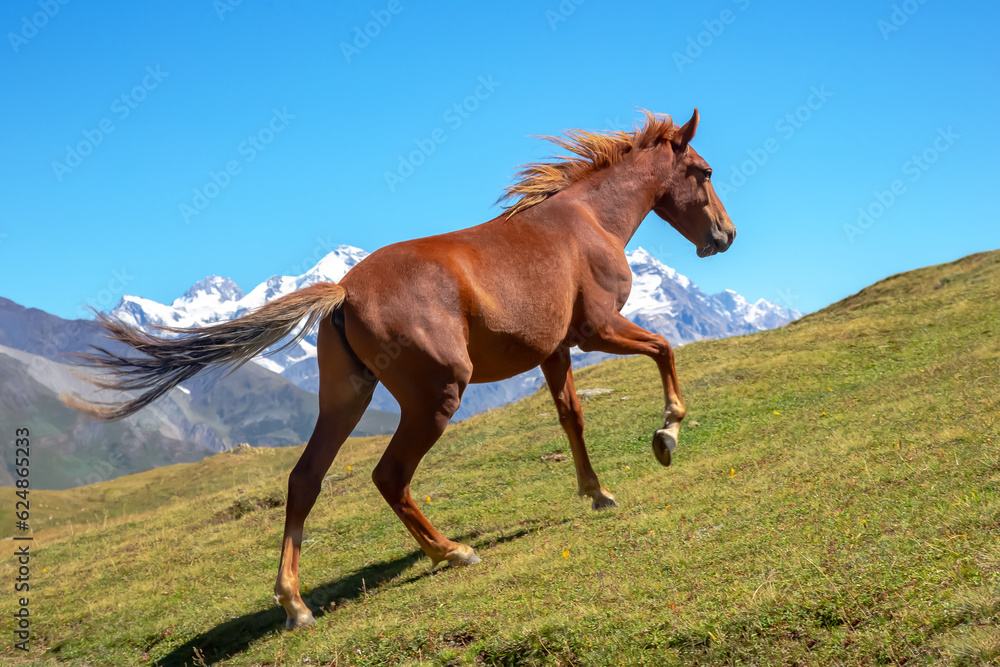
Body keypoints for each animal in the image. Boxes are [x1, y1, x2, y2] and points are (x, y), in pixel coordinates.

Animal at [68, 109, 735, 629]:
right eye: (704, 172)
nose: (725, 235)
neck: (585, 222)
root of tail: (342, 291)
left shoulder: (554, 351)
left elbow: (571, 416)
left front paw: (597, 492)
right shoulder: (597, 331)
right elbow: (665, 349)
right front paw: (666, 436)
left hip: (346, 400)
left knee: (304, 480)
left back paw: (295, 606)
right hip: (436, 397)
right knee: (389, 476)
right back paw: (452, 553)